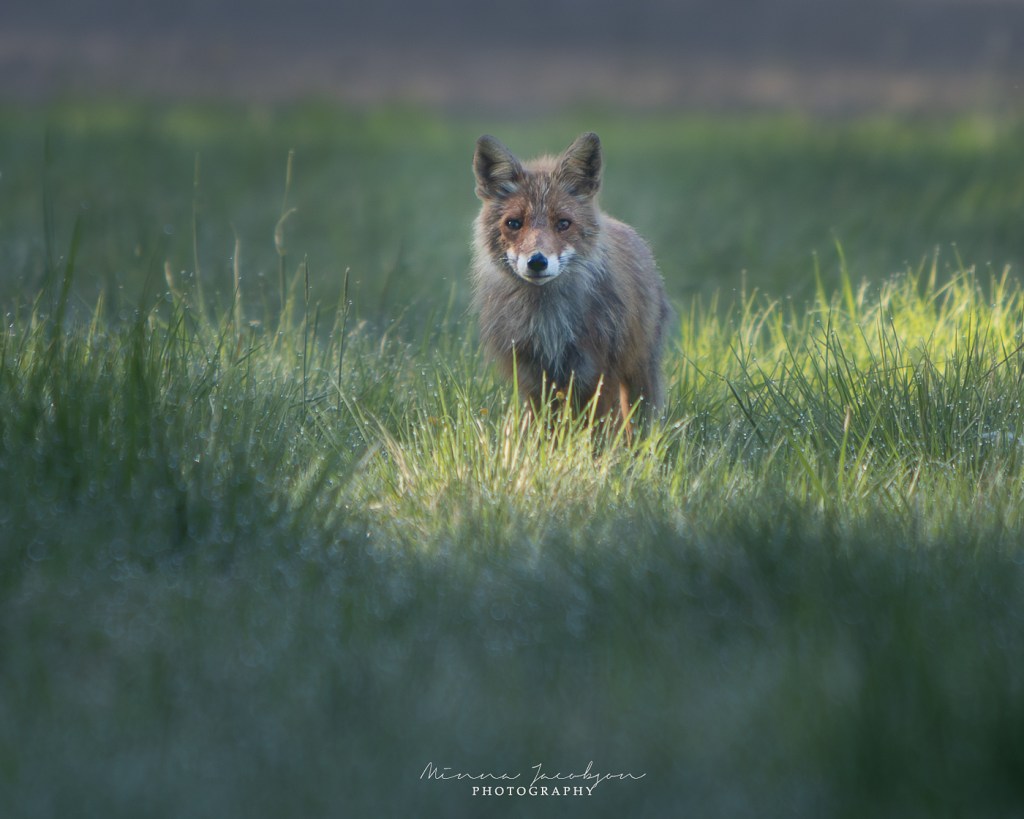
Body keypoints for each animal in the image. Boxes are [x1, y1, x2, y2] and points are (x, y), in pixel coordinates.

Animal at [471, 131, 670, 431]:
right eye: (514, 224)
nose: (537, 262)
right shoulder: (531, 376)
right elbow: (543, 431)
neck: (548, 322)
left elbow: (596, 431)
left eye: (563, 224)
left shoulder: (597, 372)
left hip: (638, 372)